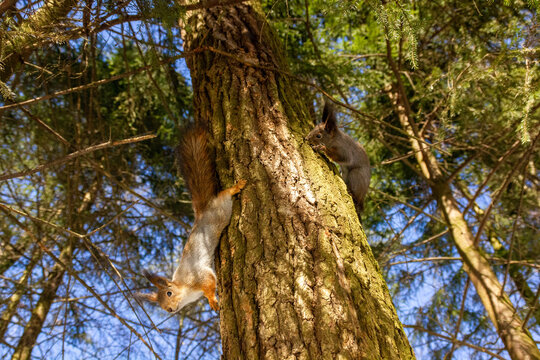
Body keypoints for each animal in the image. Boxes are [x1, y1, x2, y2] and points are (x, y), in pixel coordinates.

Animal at [136, 129, 246, 312]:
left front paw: (212, 300)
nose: (170, 310)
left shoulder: (199, 276)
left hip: (222, 209)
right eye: (161, 306)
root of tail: (202, 212)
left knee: (225, 194)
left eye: (169, 293)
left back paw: (236, 187)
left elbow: (210, 282)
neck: (185, 289)